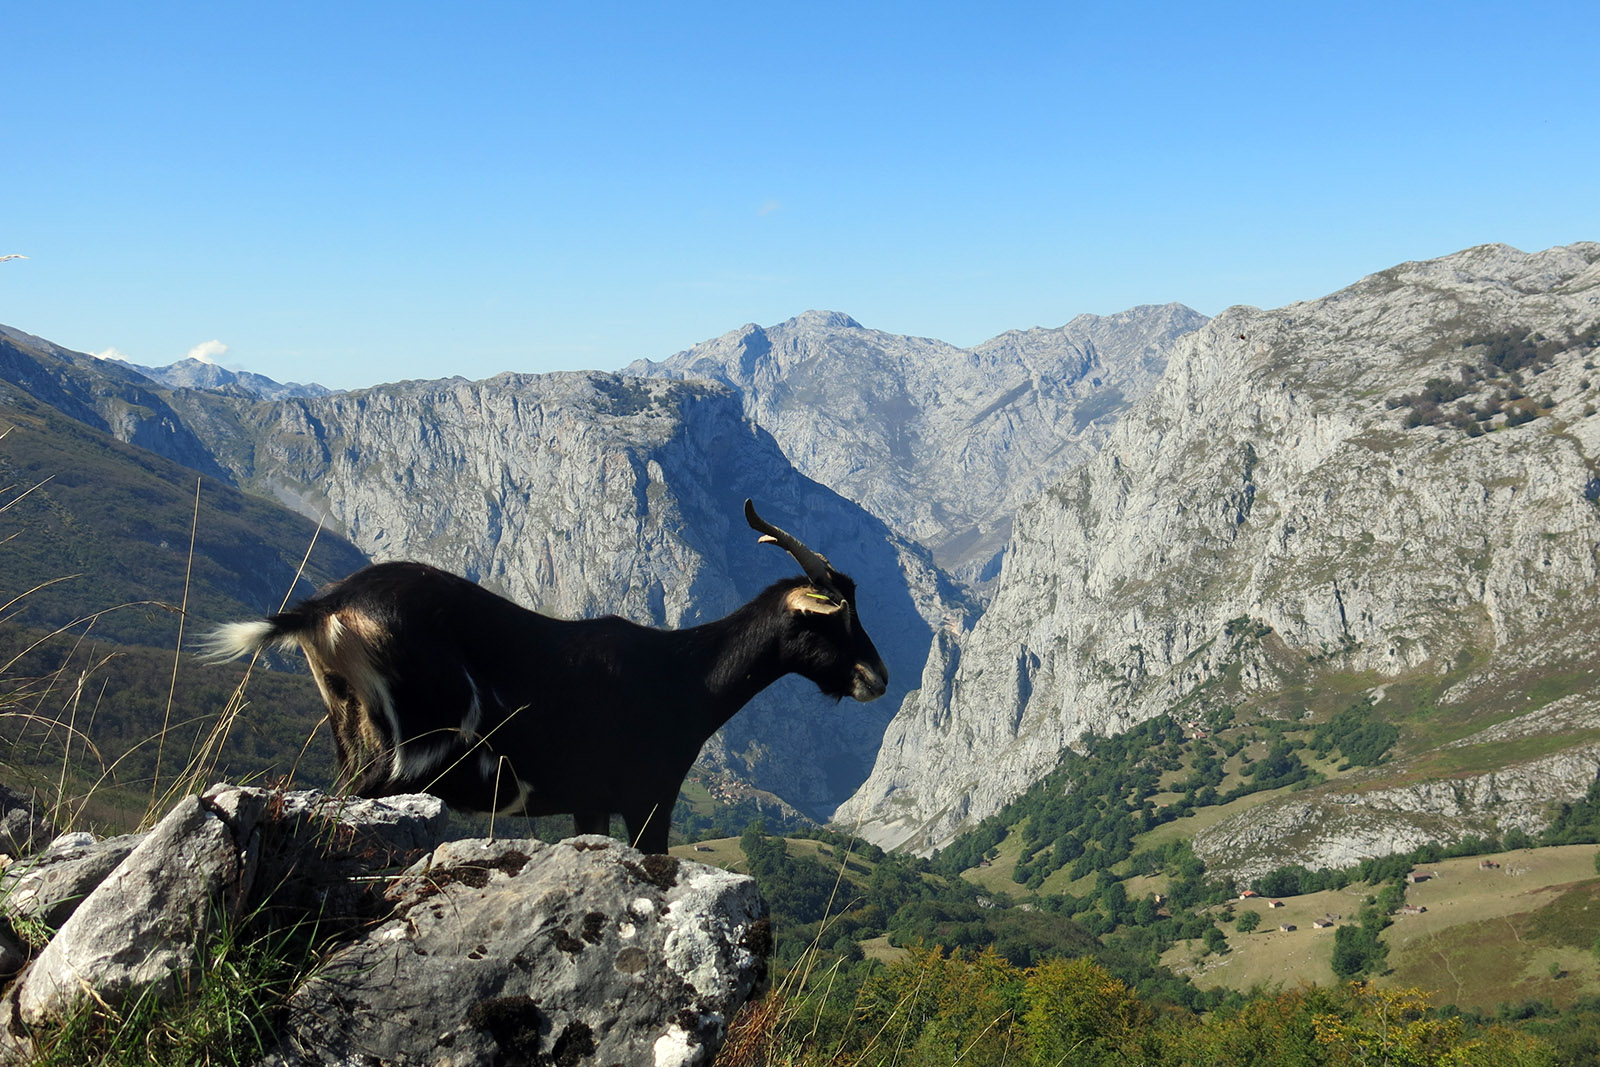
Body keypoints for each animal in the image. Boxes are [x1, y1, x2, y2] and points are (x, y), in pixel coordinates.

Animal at [203, 499, 889, 851]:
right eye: (835, 615)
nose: (879, 677)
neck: (684, 675)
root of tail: (324, 609)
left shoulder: (590, 802)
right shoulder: (649, 797)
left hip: (352, 734)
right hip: (404, 754)